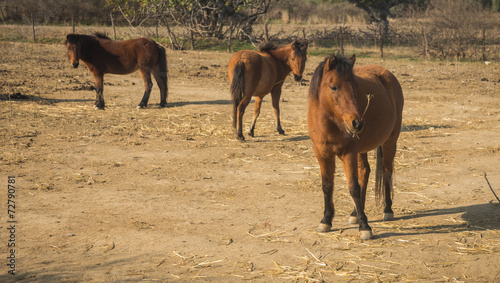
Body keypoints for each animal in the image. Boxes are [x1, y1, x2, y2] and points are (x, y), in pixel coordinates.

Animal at [304, 53, 406, 240]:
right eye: (334, 87)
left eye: (356, 86)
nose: (357, 122)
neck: (332, 123)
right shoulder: (322, 153)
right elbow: (327, 186)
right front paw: (326, 220)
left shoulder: (348, 153)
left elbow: (353, 187)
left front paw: (365, 226)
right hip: (362, 149)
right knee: (365, 171)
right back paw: (355, 213)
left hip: (390, 142)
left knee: (386, 171)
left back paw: (387, 210)